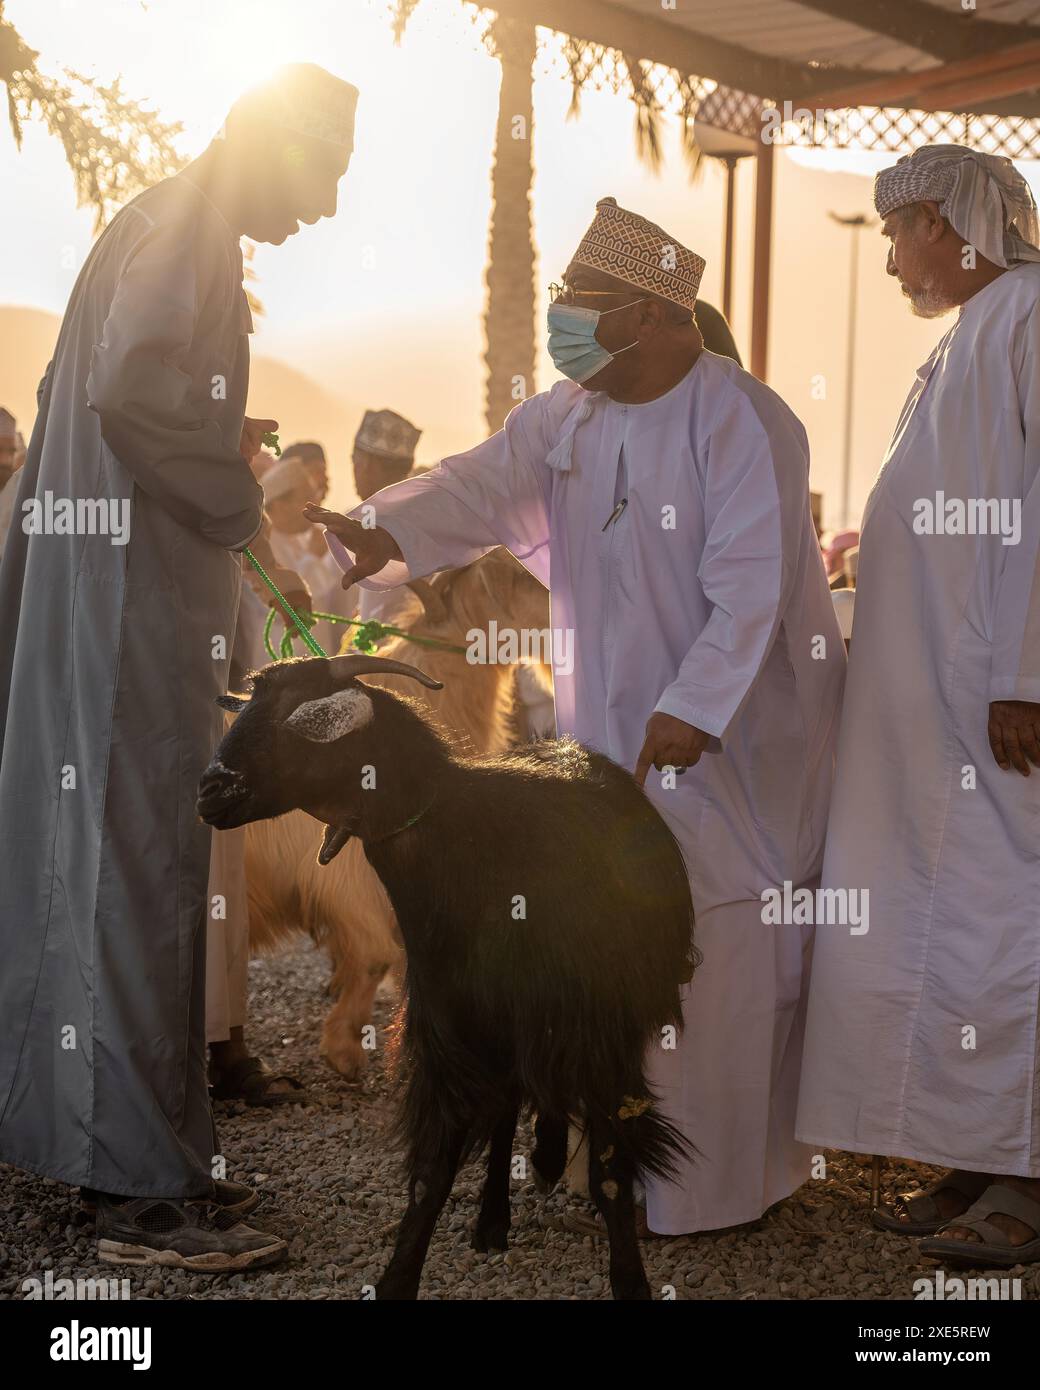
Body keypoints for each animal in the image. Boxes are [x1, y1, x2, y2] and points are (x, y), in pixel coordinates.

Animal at [194, 656, 697, 1295]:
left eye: (305, 718)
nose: (209, 790)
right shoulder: (449, 1033)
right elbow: (430, 1175)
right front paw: (399, 1277)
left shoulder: (598, 1035)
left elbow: (609, 1174)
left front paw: (630, 1280)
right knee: (509, 1105)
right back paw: (496, 1215)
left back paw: (545, 1160)